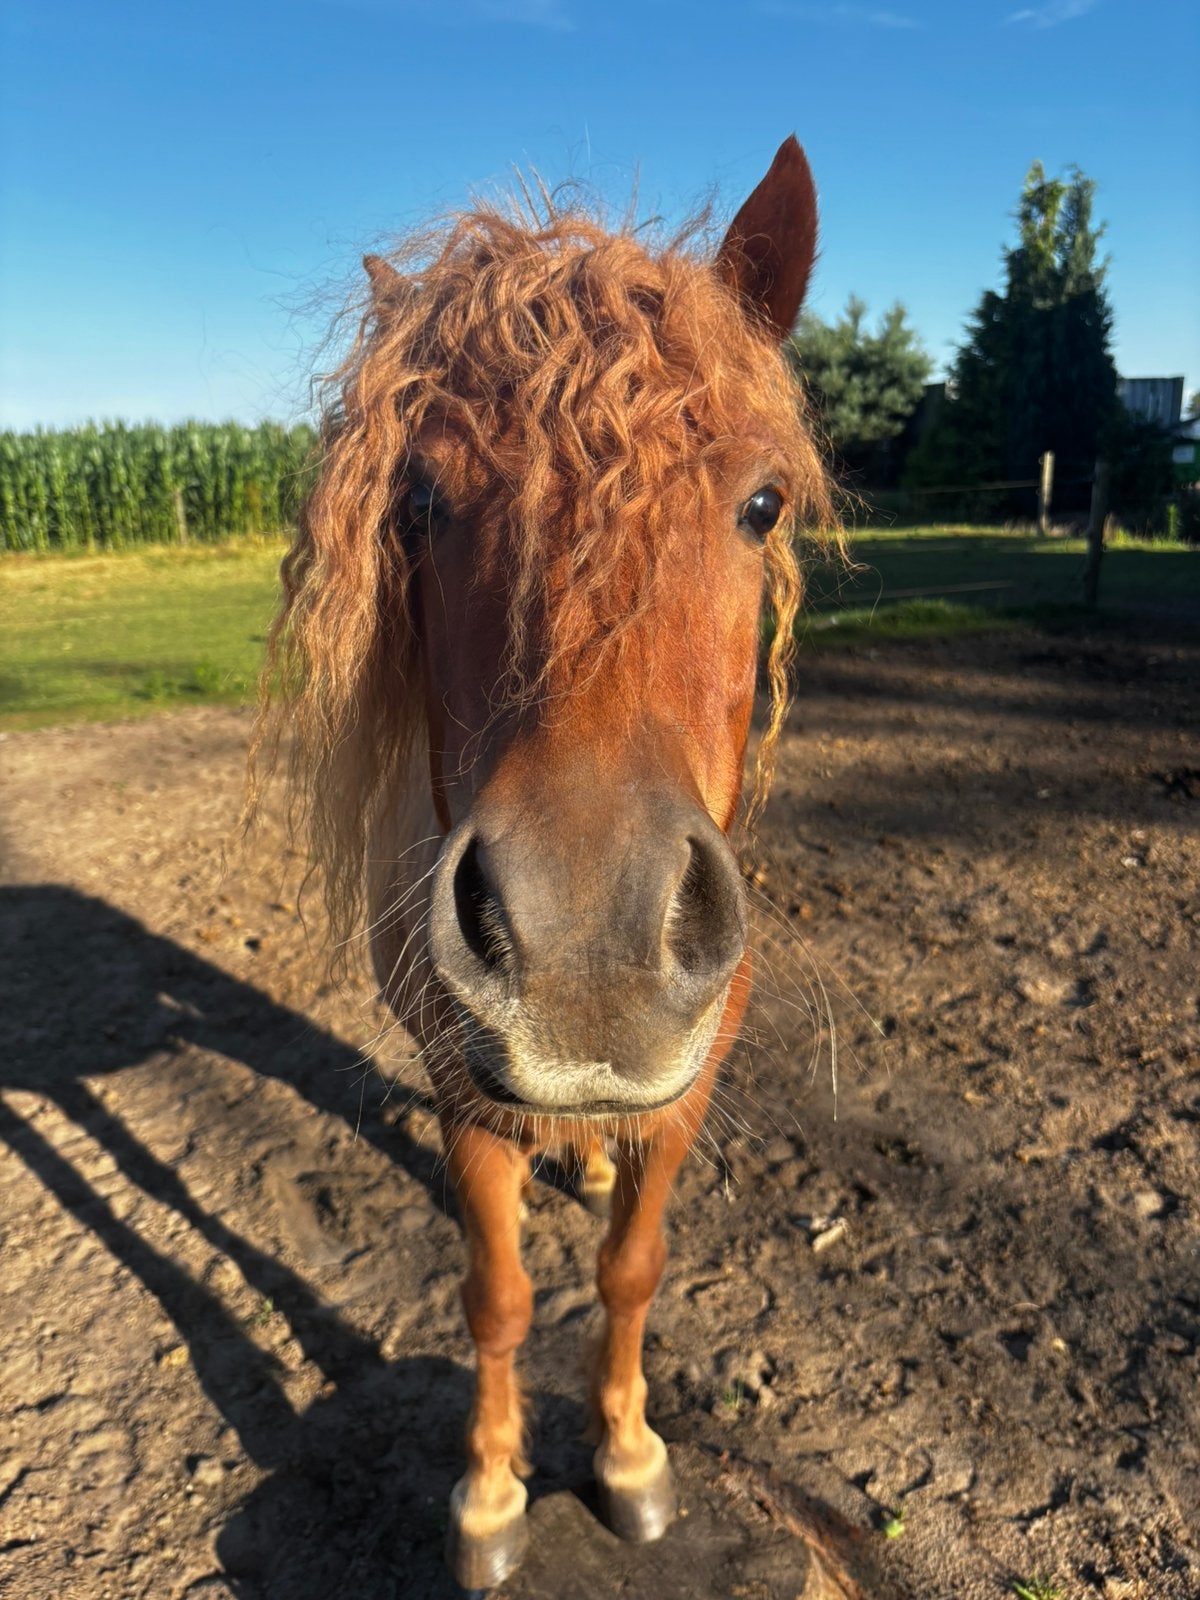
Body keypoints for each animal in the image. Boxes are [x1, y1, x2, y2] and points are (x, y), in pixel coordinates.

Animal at [259, 136, 834, 1588]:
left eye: (762, 503)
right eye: (418, 500)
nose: (591, 951)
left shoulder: (687, 1087)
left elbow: (632, 1269)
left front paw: (628, 1458)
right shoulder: (465, 1091)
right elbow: (499, 1292)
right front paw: (491, 1494)